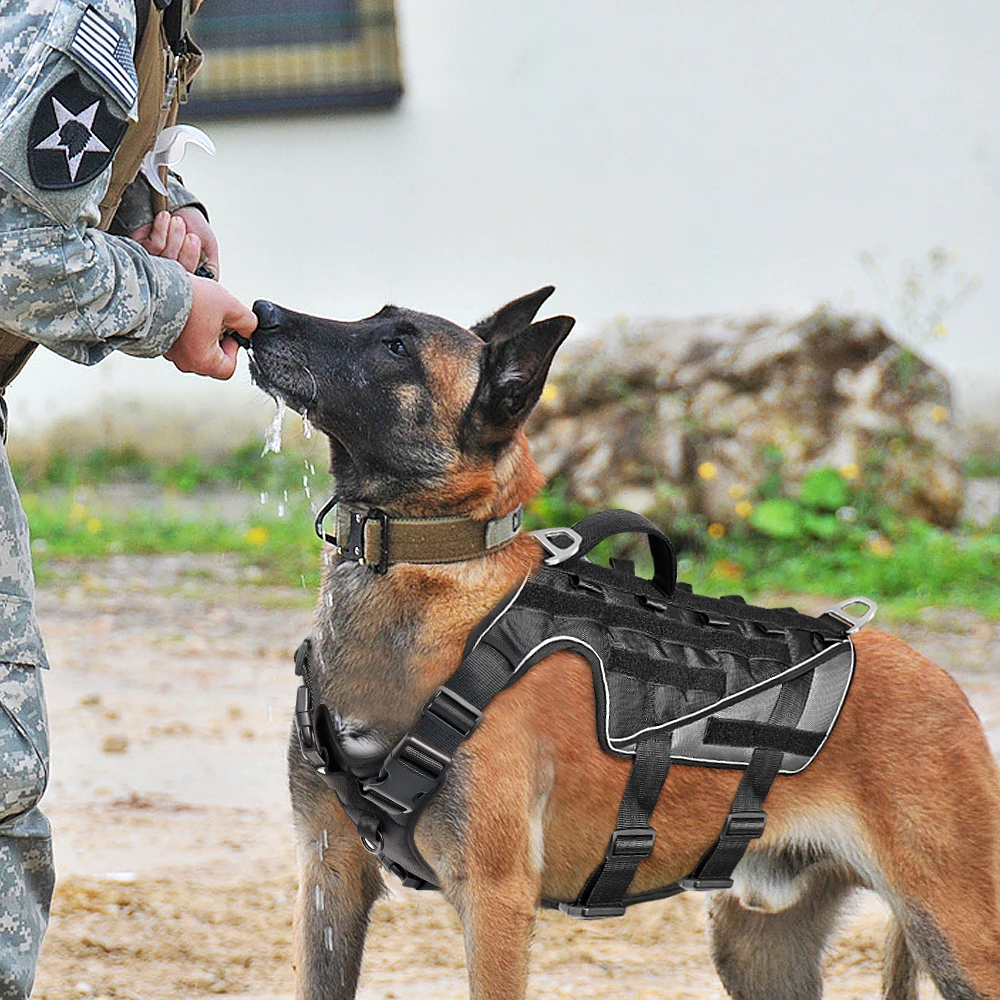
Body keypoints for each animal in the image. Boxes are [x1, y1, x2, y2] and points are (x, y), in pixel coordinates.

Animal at [248, 286, 1000, 996]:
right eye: (375, 319)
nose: (261, 312)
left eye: (398, 346)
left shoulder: (493, 898)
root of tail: (944, 680)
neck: (427, 568)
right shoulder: (330, 873)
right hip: (758, 948)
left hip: (958, 938)